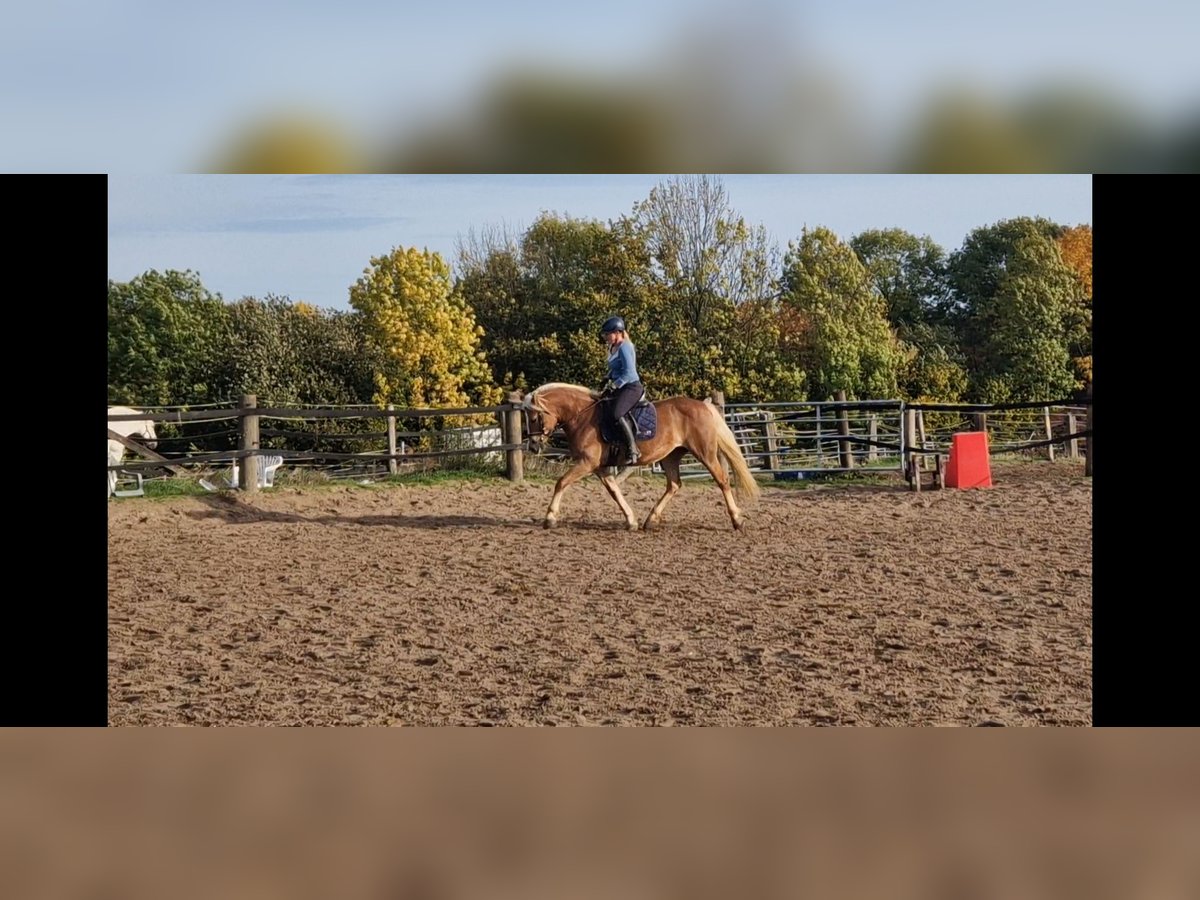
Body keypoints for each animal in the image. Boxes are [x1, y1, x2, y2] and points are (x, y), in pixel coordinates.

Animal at [522, 383, 760, 531]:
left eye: (533, 418)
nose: (533, 446)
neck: (583, 416)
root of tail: (703, 405)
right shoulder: (600, 467)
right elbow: (614, 491)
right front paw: (631, 521)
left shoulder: (586, 463)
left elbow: (561, 482)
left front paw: (550, 518)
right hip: (670, 456)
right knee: (674, 484)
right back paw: (651, 520)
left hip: (705, 453)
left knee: (722, 480)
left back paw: (737, 520)